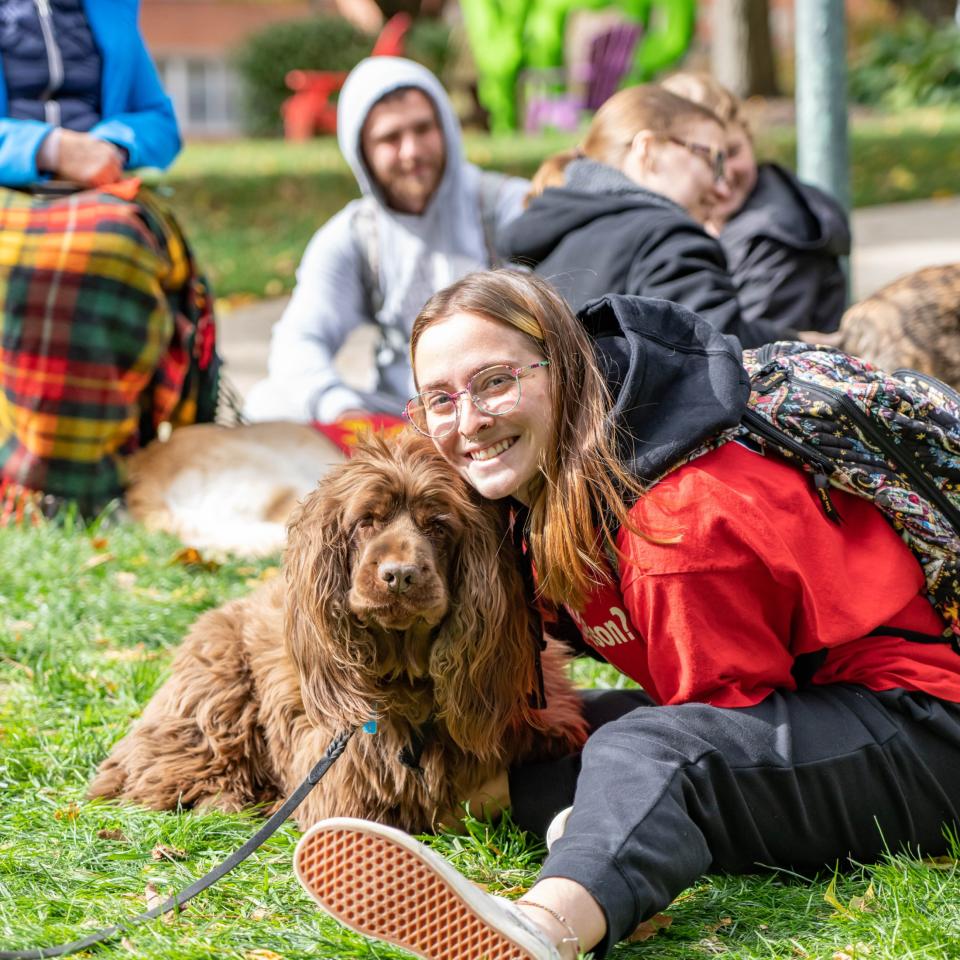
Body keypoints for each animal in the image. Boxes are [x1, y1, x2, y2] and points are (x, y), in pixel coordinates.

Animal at [90, 432, 584, 828]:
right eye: (366, 521)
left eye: (438, 526)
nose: (399, 575)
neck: (407, 680)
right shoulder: (339, 781)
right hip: (217, 685)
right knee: (152, 773)